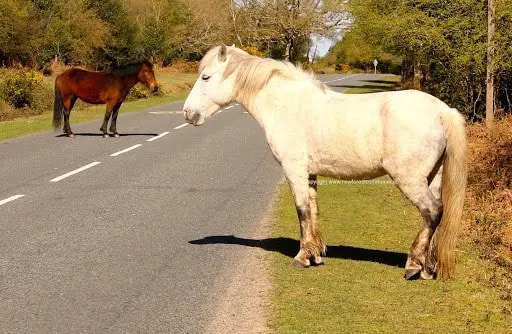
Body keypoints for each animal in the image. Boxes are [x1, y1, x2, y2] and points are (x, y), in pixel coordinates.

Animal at [184, 44, 468, 280]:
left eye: (205, 77)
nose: (188, 113)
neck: (287, 106)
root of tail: (443, 110)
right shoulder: (309, 174)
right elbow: (313, 210)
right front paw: (315, 254)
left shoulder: (294, 170)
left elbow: (302, 210)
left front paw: (302, 257)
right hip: (432, 178)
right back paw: (427, 267)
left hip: (410, 180)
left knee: (432, 212)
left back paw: (413, 265)